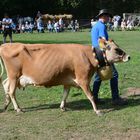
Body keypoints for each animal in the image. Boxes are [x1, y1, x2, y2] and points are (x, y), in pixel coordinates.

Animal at [0, 41, 130, 115]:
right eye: (116, 49)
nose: (128, 56)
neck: (88, 55)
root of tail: (6, 44)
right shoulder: (83, 79)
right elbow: (91, 96)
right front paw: (97, 111)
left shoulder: (68, 81)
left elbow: (65, 94)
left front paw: (62, 107)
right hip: (14, 75)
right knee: (11, 91)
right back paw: (18, 109)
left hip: (14, 77)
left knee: (5, 84)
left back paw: (6, 104)